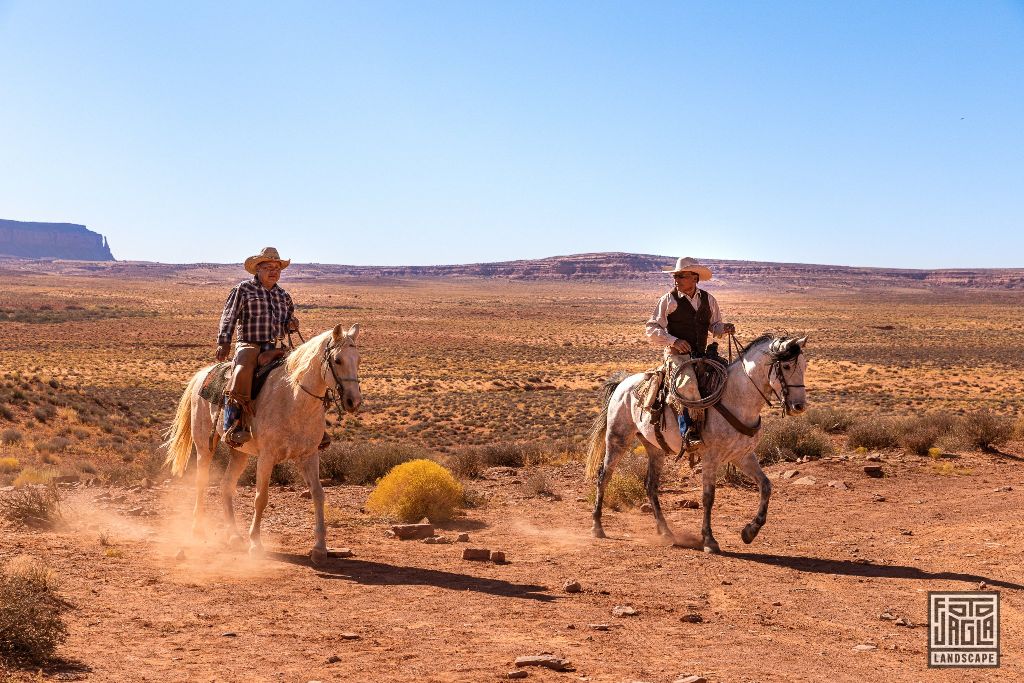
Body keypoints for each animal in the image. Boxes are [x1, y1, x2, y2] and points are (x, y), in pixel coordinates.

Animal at [165, 323, 362, 565]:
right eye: (337, 360)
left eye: (358, 360)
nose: (354, 401)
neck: (294, 399)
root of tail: (202, 374)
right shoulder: (267, 457)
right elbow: (261, 498)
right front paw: (256, 544)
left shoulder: (309, 456)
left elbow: (318, 494)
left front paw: (320, 548)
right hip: (204, 446)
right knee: (202, 482)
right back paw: (197, 530)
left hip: (239, 453)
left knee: (226, 486)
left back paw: (234, 536)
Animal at [589, 335, 811, 557]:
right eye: (787, 365)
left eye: (804, 365)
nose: (799, 406)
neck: (736, 399)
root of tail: (623, 383)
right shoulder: (711, 458)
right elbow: (708, 497)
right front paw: (709, 540)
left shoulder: (743, 456)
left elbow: (766, 486)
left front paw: (750, 531)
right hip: (617, 439)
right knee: (603, 477)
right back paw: (597, 527)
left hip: (655, 448)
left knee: (650, 486)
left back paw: (666, 531)